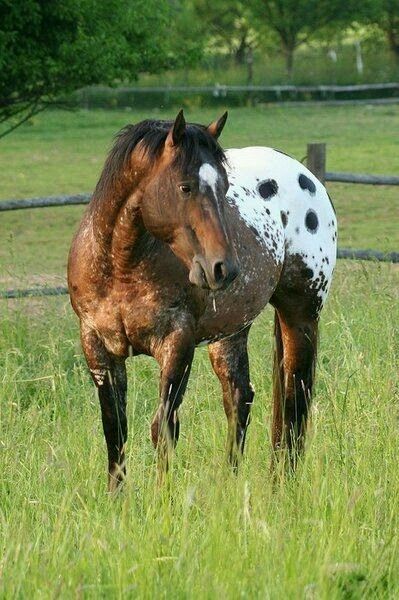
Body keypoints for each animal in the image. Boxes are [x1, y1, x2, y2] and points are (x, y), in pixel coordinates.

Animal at [68, 110, 338, 490]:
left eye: (224, 188)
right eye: (185, 187)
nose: (223, 267)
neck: (120, 266)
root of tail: (306, 176)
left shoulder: (177, 343)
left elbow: (164, 428)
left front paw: (161, 498)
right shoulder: (97, 345)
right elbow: (115, 431)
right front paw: (116, 498)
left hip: (300, 315)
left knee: (294, 401)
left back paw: (282, 485)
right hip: (230, 333)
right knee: (240, 399)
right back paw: (229, 484)